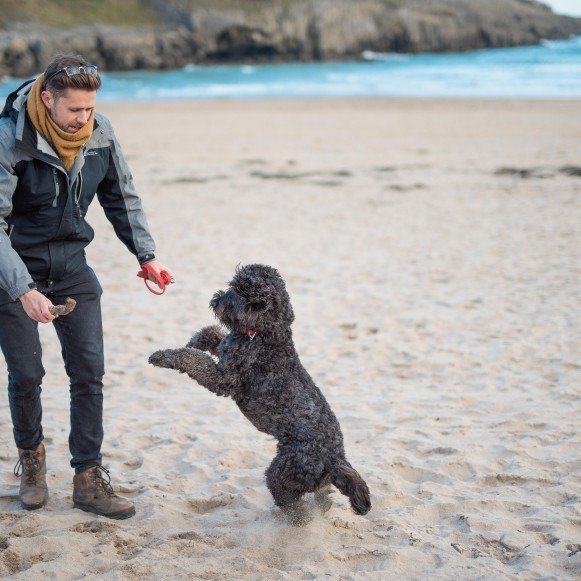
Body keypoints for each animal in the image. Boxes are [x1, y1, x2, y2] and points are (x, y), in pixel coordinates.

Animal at [147, 266, 370, 524]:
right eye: (233, 285)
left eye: (242, 291)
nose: (216, 299)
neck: (264, 333)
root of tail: (335, 457)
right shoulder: (228, 347)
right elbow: (212, 335)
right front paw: (195, 340)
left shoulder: (224, 379)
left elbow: (193, 358)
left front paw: (165, 356)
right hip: (314, 479)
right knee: (321, 497)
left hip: (284, 471)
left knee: (295, 509)